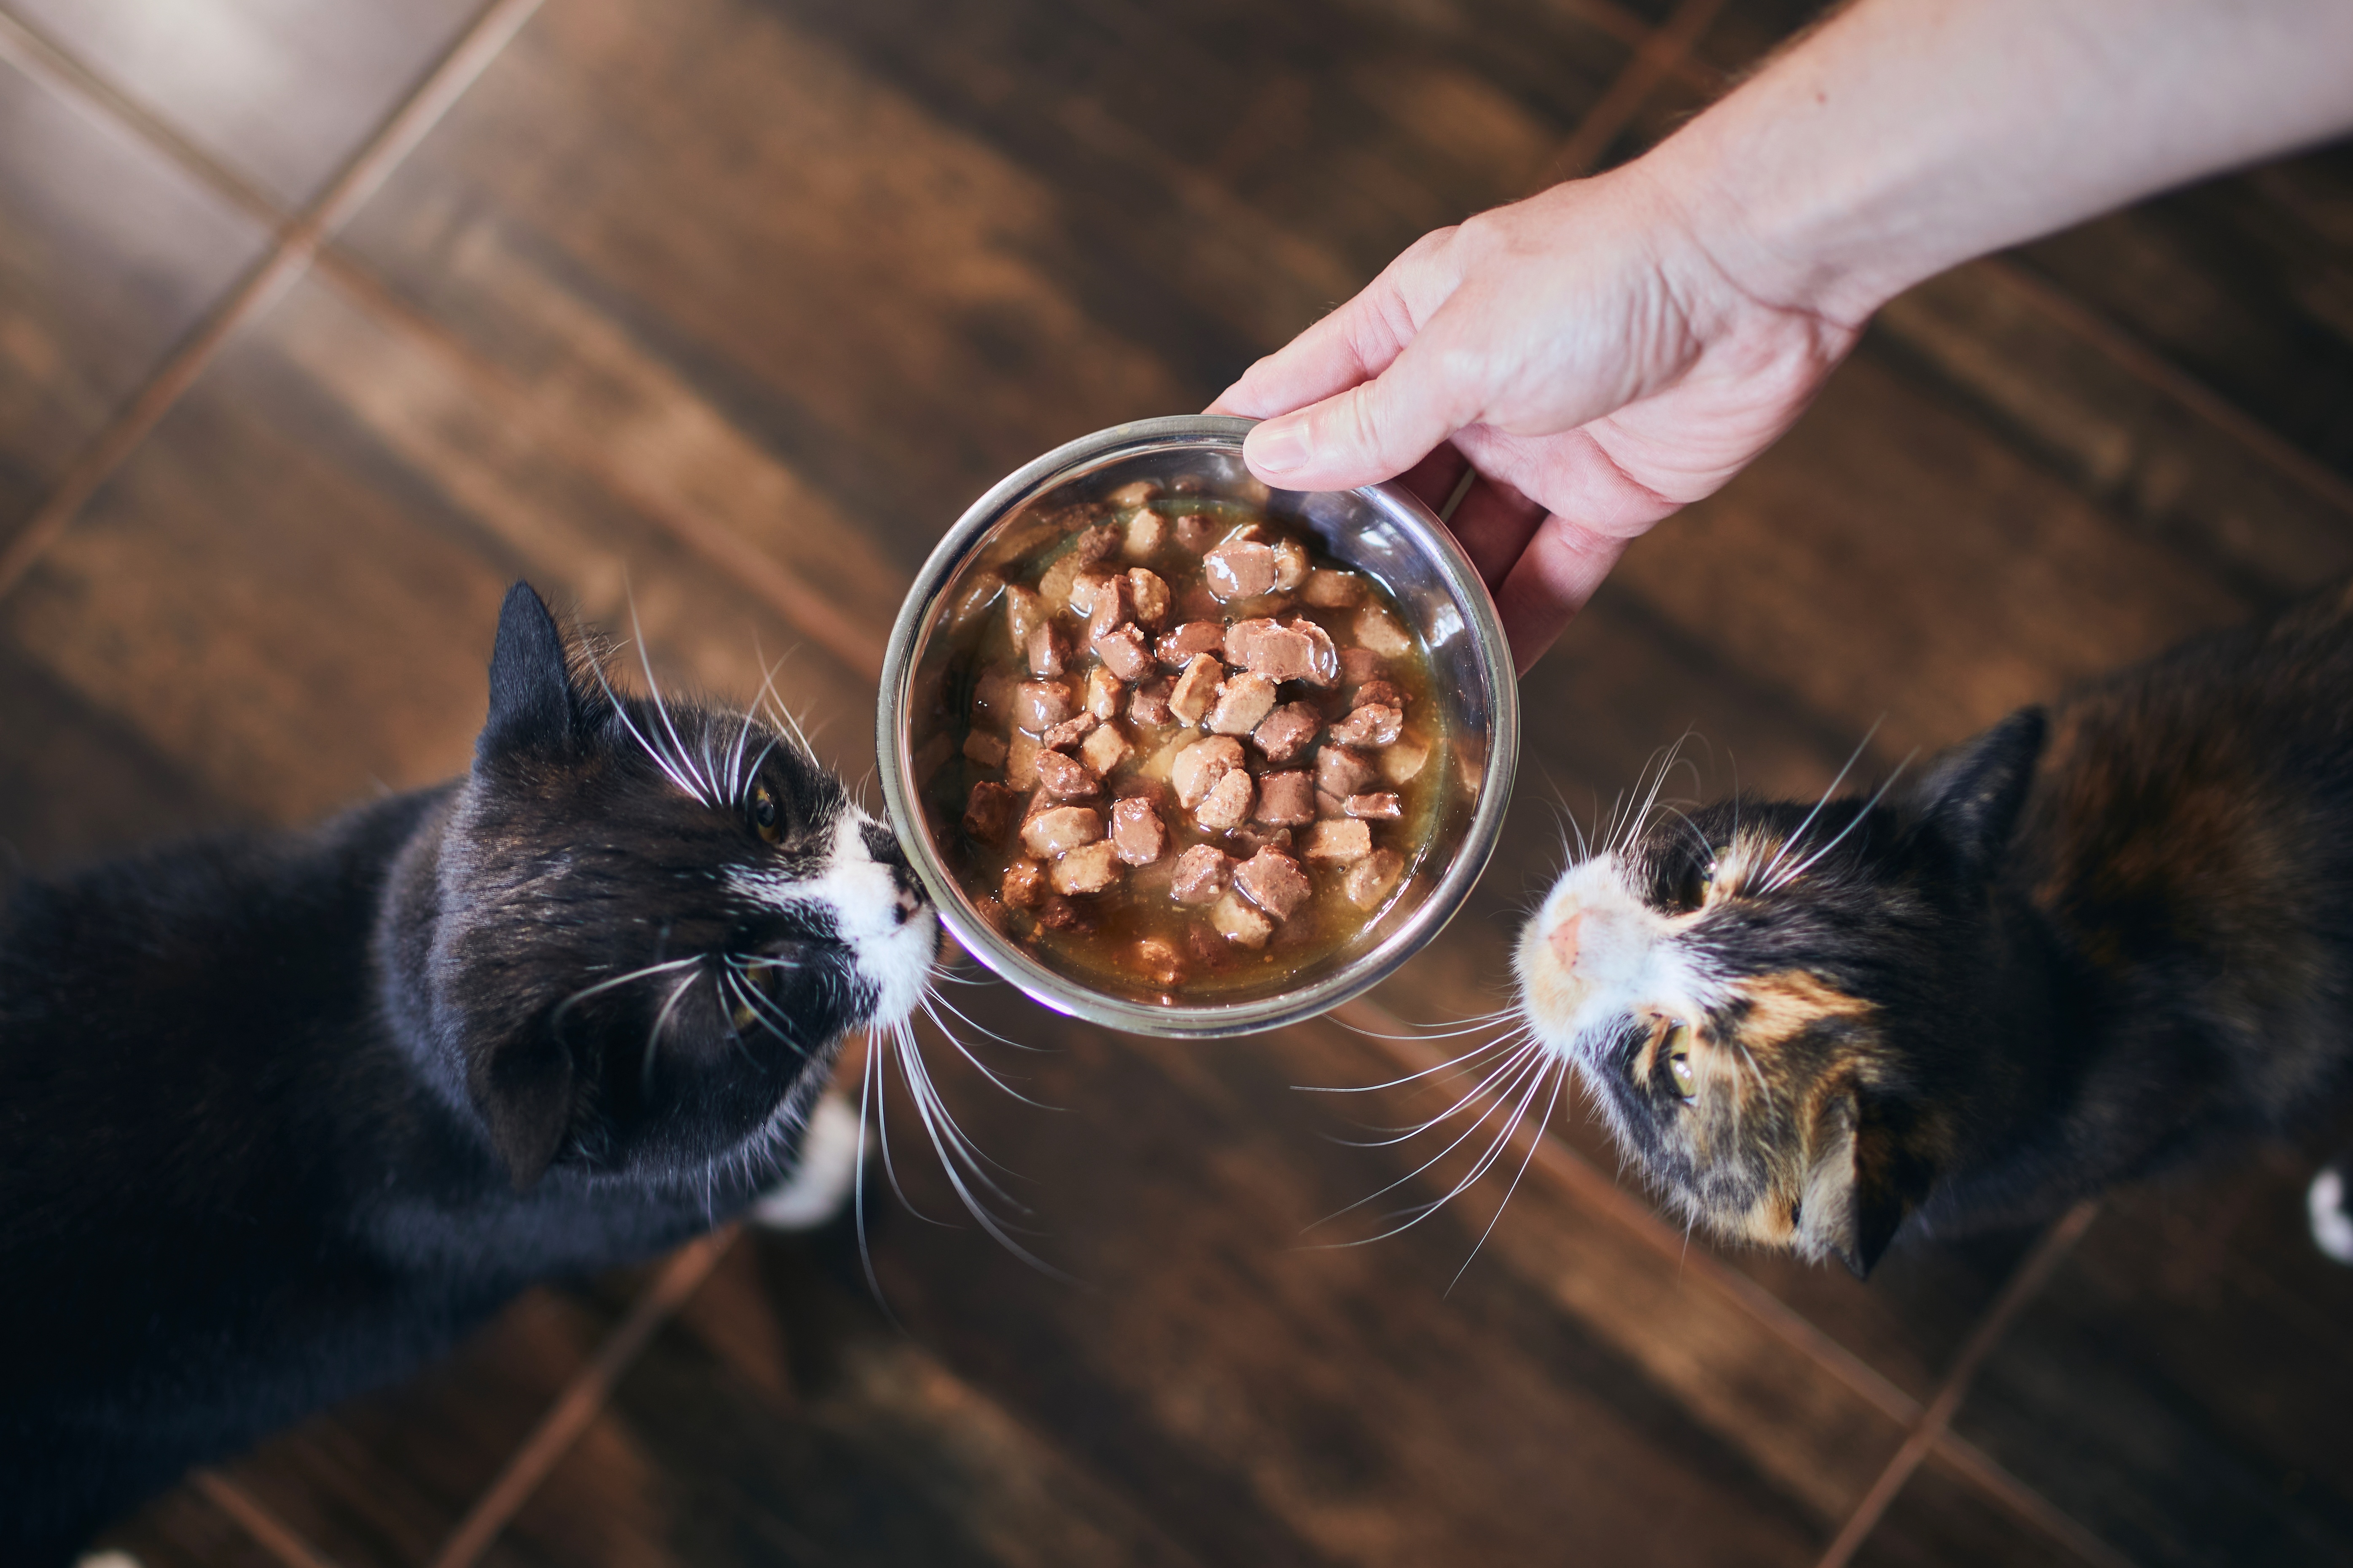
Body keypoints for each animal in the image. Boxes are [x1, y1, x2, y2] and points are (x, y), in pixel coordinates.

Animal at [0, 583, 936, 1561]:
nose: (908, 887)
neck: (381, 1000)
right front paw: (825, 1160)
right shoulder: (604, 1207)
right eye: (755, 998)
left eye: (762, 806)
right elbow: (747, 1170)